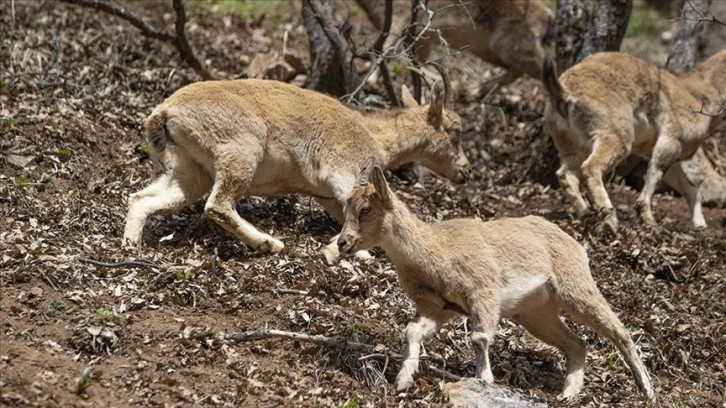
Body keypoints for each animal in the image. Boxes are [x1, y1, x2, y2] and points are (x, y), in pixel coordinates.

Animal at [123, 77, 472, 262]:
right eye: (456, 130)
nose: (465, 172)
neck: (376, 136)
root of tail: (164, 113)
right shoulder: (345, 172)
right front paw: (355, 253)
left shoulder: (327, 196)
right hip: (241, 150)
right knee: (218, 205)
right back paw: (270, 243)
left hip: (188, 170)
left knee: (142, 199)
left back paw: (131, 245)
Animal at [338, 164, 656, 400]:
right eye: (346, 207)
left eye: (366, 208)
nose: (343, 242)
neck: (436, 251)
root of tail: (578, 246)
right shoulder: (438, 308)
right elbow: (412, 330)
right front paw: (403, 381)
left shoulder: (484, 292)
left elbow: (479, 337)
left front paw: (484, 380)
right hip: (535, 313)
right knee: (577, 343)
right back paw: (568, 393)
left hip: (575, 289)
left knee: (619, 330)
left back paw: (647, 389)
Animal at [356, 0, 556, 94]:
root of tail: (548, 15)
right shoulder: (422, 40)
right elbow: (419, 62)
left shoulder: (400, 17)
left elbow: (384, 48)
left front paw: (370, 81)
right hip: (490, 50)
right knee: (519, 69)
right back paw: (478, 91)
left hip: (510, 43)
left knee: (543, 64)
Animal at [544, 51, 726, 234]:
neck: (699, 94)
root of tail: (563, 92)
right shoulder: (670, 141)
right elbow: (655, 174)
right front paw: (648, 218)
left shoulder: (672, 155)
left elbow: (690, 189)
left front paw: (701, 225)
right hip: (616, 138)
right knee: (590, 167)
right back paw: (611, 222)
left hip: (573, 148)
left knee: (565, 174)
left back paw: (586, 215)